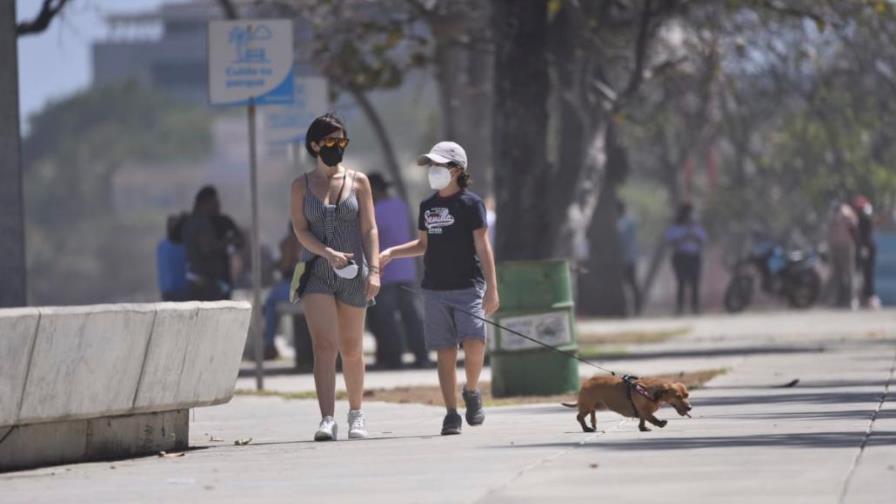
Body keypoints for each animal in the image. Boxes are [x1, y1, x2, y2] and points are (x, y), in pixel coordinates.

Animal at [560, 374, 692, 434]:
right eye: (678, 396)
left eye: (687, 395)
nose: (690, 408)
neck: (648, 390)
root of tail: (585, 384)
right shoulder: (645, 411)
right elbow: (651, 418)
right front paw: (660, 423)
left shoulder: (642, 412)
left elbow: (643, 420)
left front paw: (643, 428)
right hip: (587, 406)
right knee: (579, 417)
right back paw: (586, 428)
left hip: (596, 405)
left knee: (592, 413)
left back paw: (593, 424)